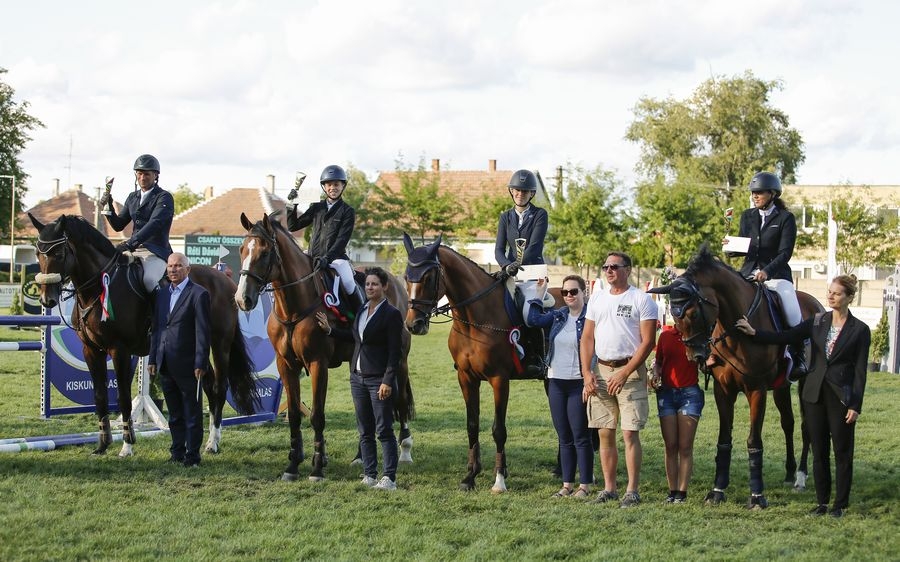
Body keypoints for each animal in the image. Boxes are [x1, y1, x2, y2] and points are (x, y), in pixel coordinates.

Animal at [28, 213, 258, 456]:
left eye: (59, 254)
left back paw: (213, 442)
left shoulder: (119, 350)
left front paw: (127, 445)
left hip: (219, 343)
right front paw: (102, 445)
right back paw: (209, 440)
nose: (47, 300)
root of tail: (225, 280)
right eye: (37, 253)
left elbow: (123, 398)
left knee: (219, 387)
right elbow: (99, 396)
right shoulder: (91, 350)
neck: (97, 290)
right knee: (207, 385)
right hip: (197, 346)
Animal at [232, 212, 414, 480]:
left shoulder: (318, 364)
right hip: (357, 365)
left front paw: (317, 466)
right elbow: (294, 414)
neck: (294, 308)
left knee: (399, 400)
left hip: (398, 360)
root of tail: (395, 282)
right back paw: (360, 457)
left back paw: (405, 451)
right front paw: (293, 465)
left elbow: (317, 415)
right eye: (242, 250)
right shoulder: (286, 365)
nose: (242, 299)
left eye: (264, 253)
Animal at [406, 232, 548, 490]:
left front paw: (499, 479)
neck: (474, 321)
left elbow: (498, 429)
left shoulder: (499, 379)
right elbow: (472, 424)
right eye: (405, 277)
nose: (414, 325)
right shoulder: (466, 378)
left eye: (429, 277)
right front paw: (470, 476)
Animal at [652, 245, 820, 508]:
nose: (695, 355)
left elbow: (753, 441)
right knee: (788, 423)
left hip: (804, 384)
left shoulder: (757, 390)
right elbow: (724, 439)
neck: (737, 330)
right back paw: (790, 472)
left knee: (805, 426)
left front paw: (757, 496)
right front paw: (717, 490)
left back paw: (801, 477)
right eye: (675, 316)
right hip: (781, 387)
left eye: (693, 314)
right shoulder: (723, 390)